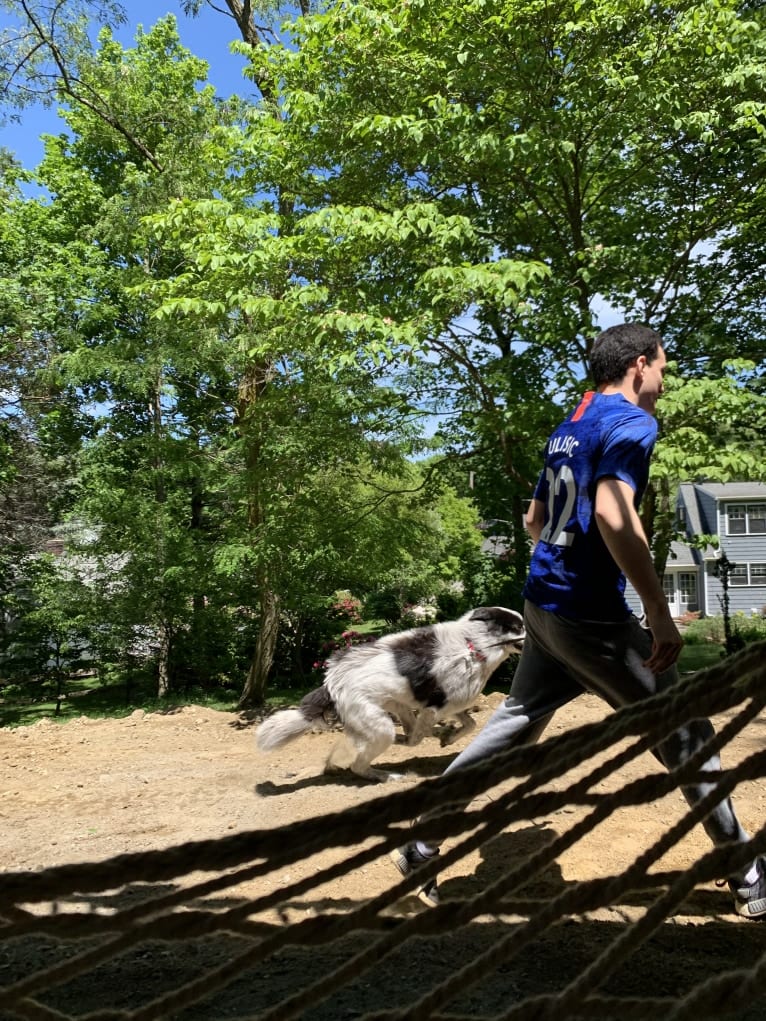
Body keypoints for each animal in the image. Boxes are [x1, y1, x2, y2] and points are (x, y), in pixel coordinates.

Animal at [258, 604, 527, 780]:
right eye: (517, 627)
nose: (532, 635)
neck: (472, 646)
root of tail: (331, 683)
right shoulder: (434, 707)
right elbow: (418, 738)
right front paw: (439, 735)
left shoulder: (450, 705)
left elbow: (469, 724)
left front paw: (448, 737)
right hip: (380, 725)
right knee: (364, 763)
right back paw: (385, 774)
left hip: (397, 705)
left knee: (406, 731)